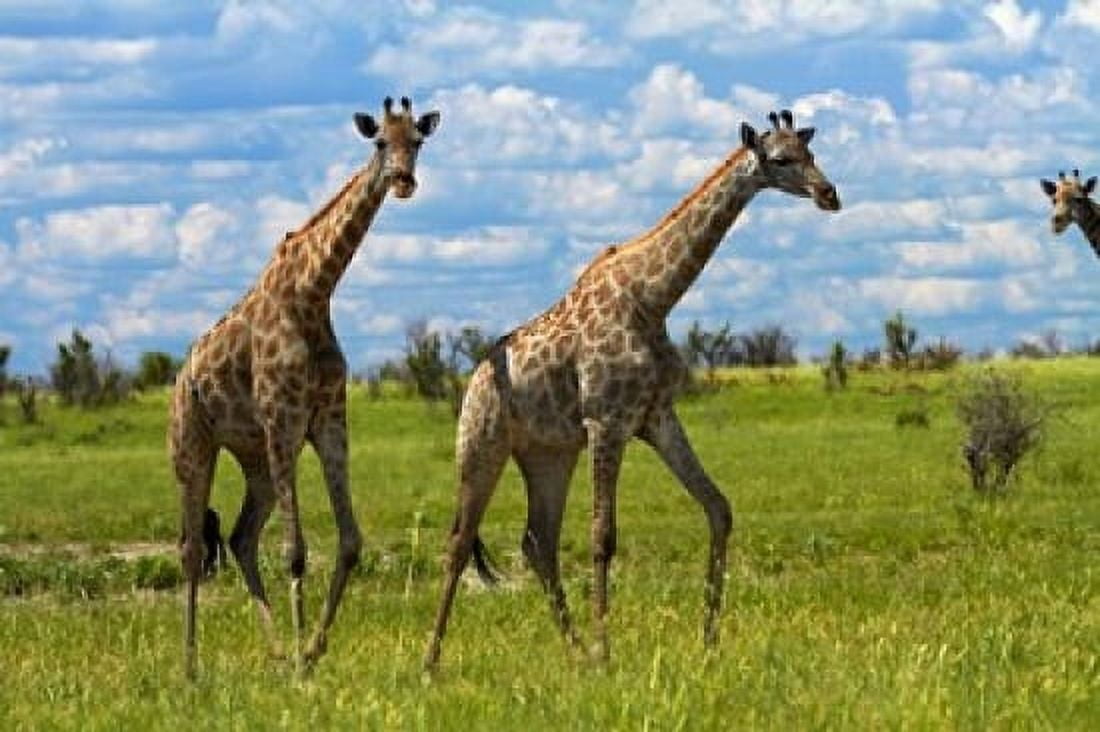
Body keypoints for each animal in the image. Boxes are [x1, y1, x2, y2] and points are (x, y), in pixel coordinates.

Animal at [171, 96, 440, 678]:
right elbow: (295, 551)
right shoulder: (283, 420)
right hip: (193, 445)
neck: (314, 294)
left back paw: (273, 652)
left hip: (254, 459)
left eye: (417, 141)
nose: (404, 181)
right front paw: (302, 662)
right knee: (190, 547)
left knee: (240, 538)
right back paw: (191, 665)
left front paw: (311, 650)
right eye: (379, 142)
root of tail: (180, 379)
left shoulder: (328, 420)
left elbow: (350, 542)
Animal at [424, 110, 840, 668]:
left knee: (538, 542)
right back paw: (432, 662)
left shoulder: (656, 416)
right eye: (779, 159)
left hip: (548, 454)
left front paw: (709, 640)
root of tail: (472, 382)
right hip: (481, 442)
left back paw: (575, 651)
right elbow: (602, 537)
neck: (653, 297)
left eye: (810, 152)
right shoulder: (607, 421)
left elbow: (719, 508)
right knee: (459, 540)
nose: (828, 193)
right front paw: (608, 650)